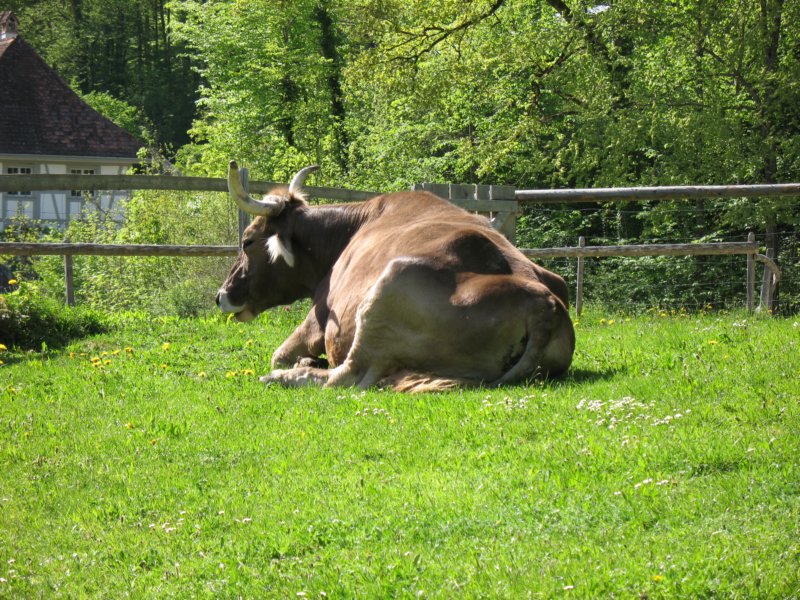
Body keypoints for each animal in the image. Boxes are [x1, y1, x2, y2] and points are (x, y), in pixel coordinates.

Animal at [216, 162, 572, 392]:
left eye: (248, 241)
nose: (221, 296)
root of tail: (545, 305)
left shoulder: (317, 318)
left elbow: (279, 353)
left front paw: (298, 362)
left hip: (385, 293)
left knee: (344, 377)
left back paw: (286, 376)